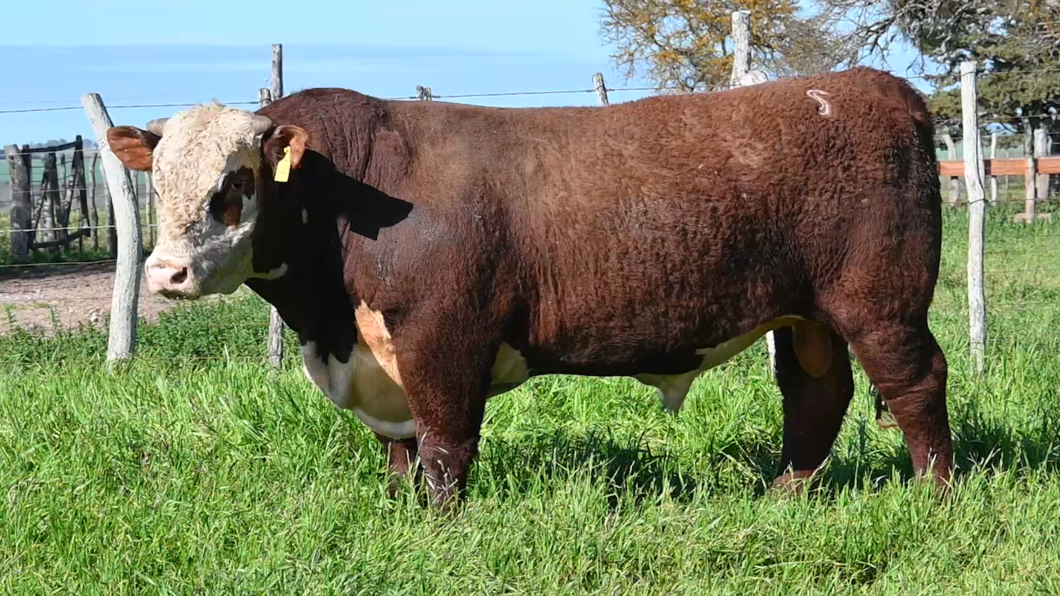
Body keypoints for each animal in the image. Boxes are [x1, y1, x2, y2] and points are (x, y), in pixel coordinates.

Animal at [107, 66, 953, 504]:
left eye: (236, 182)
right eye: (160, 179)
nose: (165, 273)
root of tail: (872, 86)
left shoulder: (443, 337)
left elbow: (444, 443)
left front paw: (438, 528)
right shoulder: (379, 358)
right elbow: (400, 448)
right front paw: (396, 509)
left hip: (881, 305)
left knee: (915, 382)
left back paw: (934, 494)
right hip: (808, 313)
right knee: (817, 394)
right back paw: (786, 494)